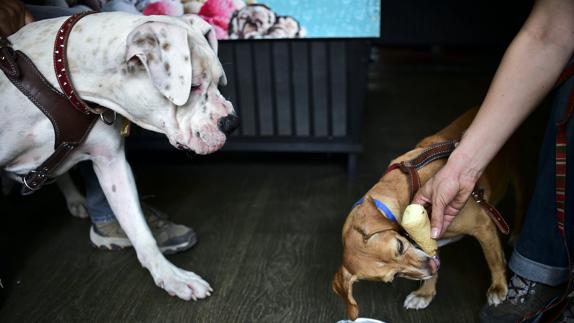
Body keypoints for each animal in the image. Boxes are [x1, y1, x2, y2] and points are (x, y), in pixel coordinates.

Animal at [0, 12, 238, 302]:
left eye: (218, 81)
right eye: (193, 86)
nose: (232, 122)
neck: (63, 79)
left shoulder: (111, 163)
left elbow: (139, 230)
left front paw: (172, 277)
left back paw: (76, 200)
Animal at [332, 108, 528, 318]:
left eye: (400, 246)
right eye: (394, 275)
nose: (431, 267)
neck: (409, 188)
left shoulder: (483, 226)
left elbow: (494, 260)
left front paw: (499, 287)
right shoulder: (429, 238)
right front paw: (424, 294)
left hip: (518, 172)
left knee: (522, 204)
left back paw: (517, 234)